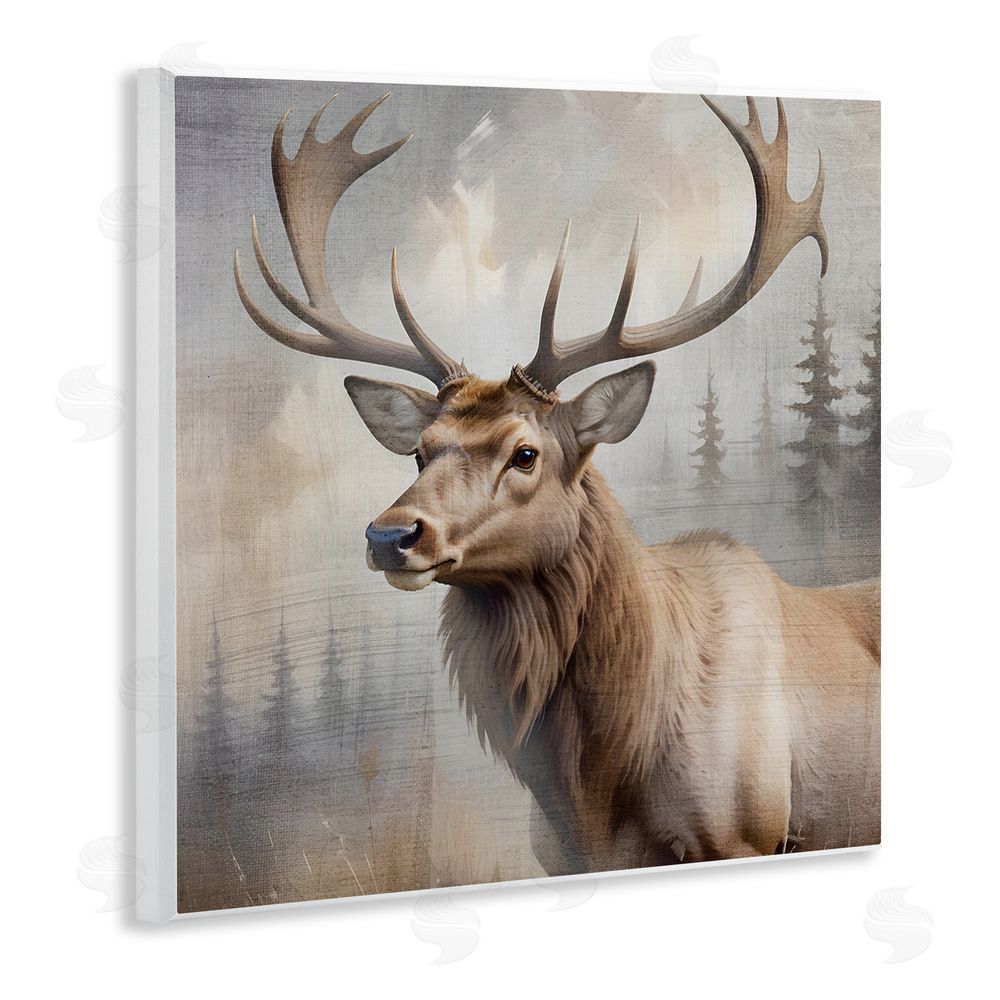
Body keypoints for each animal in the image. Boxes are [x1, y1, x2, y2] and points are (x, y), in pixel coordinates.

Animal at [234, 92, 880, 877]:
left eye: (525, 453)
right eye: (419, 452)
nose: (390, 534)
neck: (598, 784)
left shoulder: (748, 831)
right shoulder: (560, 855)